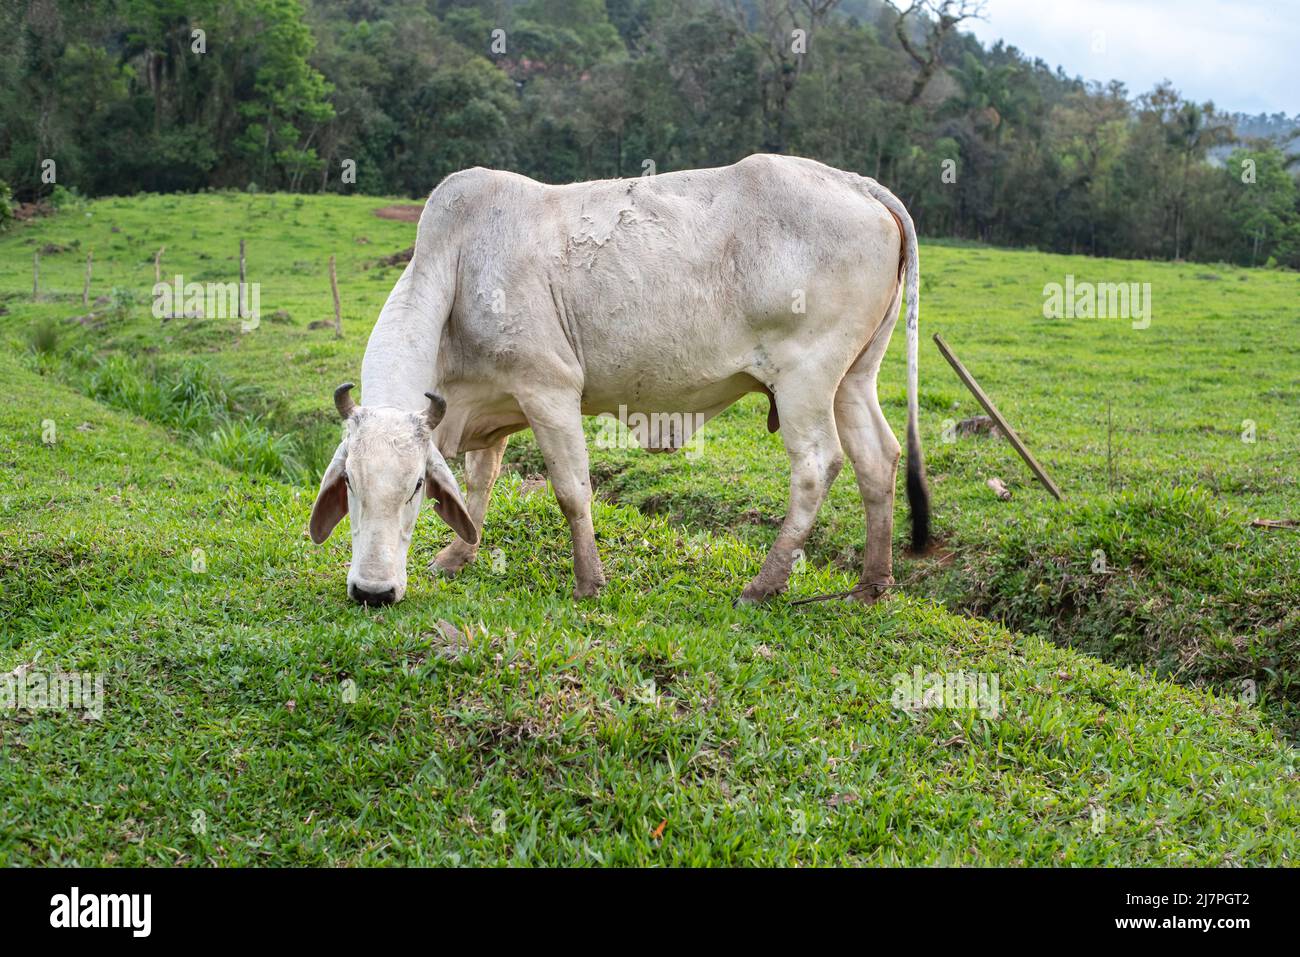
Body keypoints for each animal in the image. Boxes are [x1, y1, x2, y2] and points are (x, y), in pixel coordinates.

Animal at [310, 156, 930, 605]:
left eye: (415, 486)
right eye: (350, 485)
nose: (373, 592)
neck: (456, 267)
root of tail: (856, 183)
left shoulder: (549, 390)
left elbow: (571, 489)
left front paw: (589, 582)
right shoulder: (489, 401)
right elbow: (479, 481)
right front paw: (457, 557)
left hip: (807, 379)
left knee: (818, 465)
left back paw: (764, 584)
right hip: (854, 378)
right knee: (877, 457)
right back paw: (872, 583)